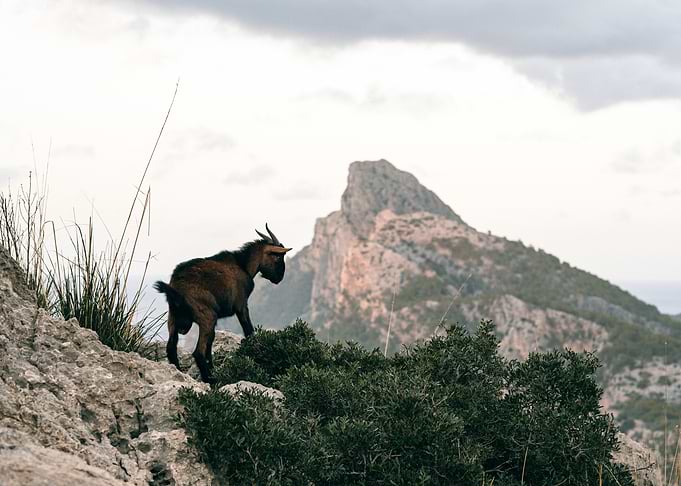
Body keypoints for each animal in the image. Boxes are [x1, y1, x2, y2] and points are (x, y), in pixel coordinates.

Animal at [154, 224, 292, 383]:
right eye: (278, 256)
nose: (279, 277)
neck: (243, 265)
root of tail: (175, 289)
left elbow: (211, 343)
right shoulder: (241, 305)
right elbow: (248, 330)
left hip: (173, 318)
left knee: (172, 348)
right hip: (207, 317)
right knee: (198, 352)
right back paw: (210, 380)